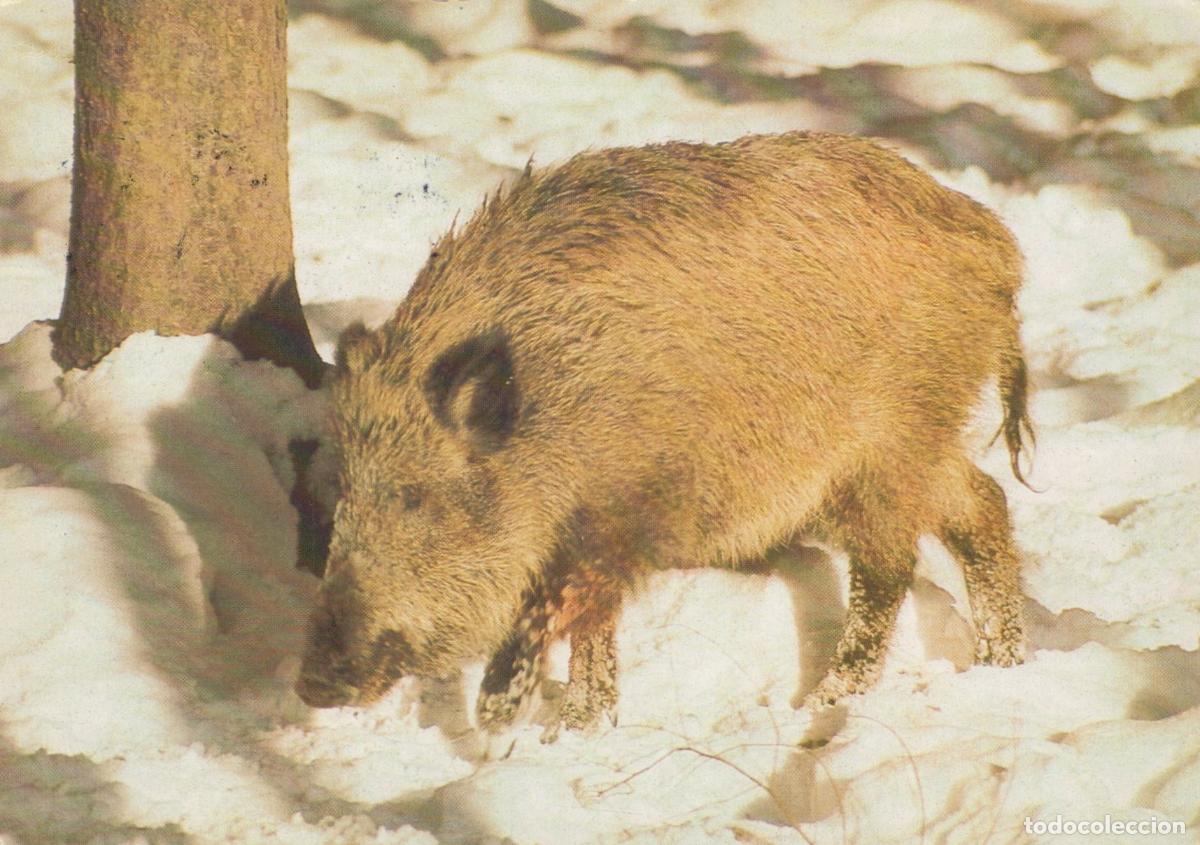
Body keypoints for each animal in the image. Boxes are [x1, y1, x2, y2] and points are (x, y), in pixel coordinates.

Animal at [295, 131, 1033, 735]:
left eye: (414, 496)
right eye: (341, 496)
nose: (312, 684)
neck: (551, 416)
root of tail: (995, 243)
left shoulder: (621, 510)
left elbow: (576, 606)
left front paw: (519, 721)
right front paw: (575, 728)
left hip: (887, 442)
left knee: (891, 564)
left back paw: (822, 705)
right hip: (920, 441)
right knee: (983, 502)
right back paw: (1002, 663)